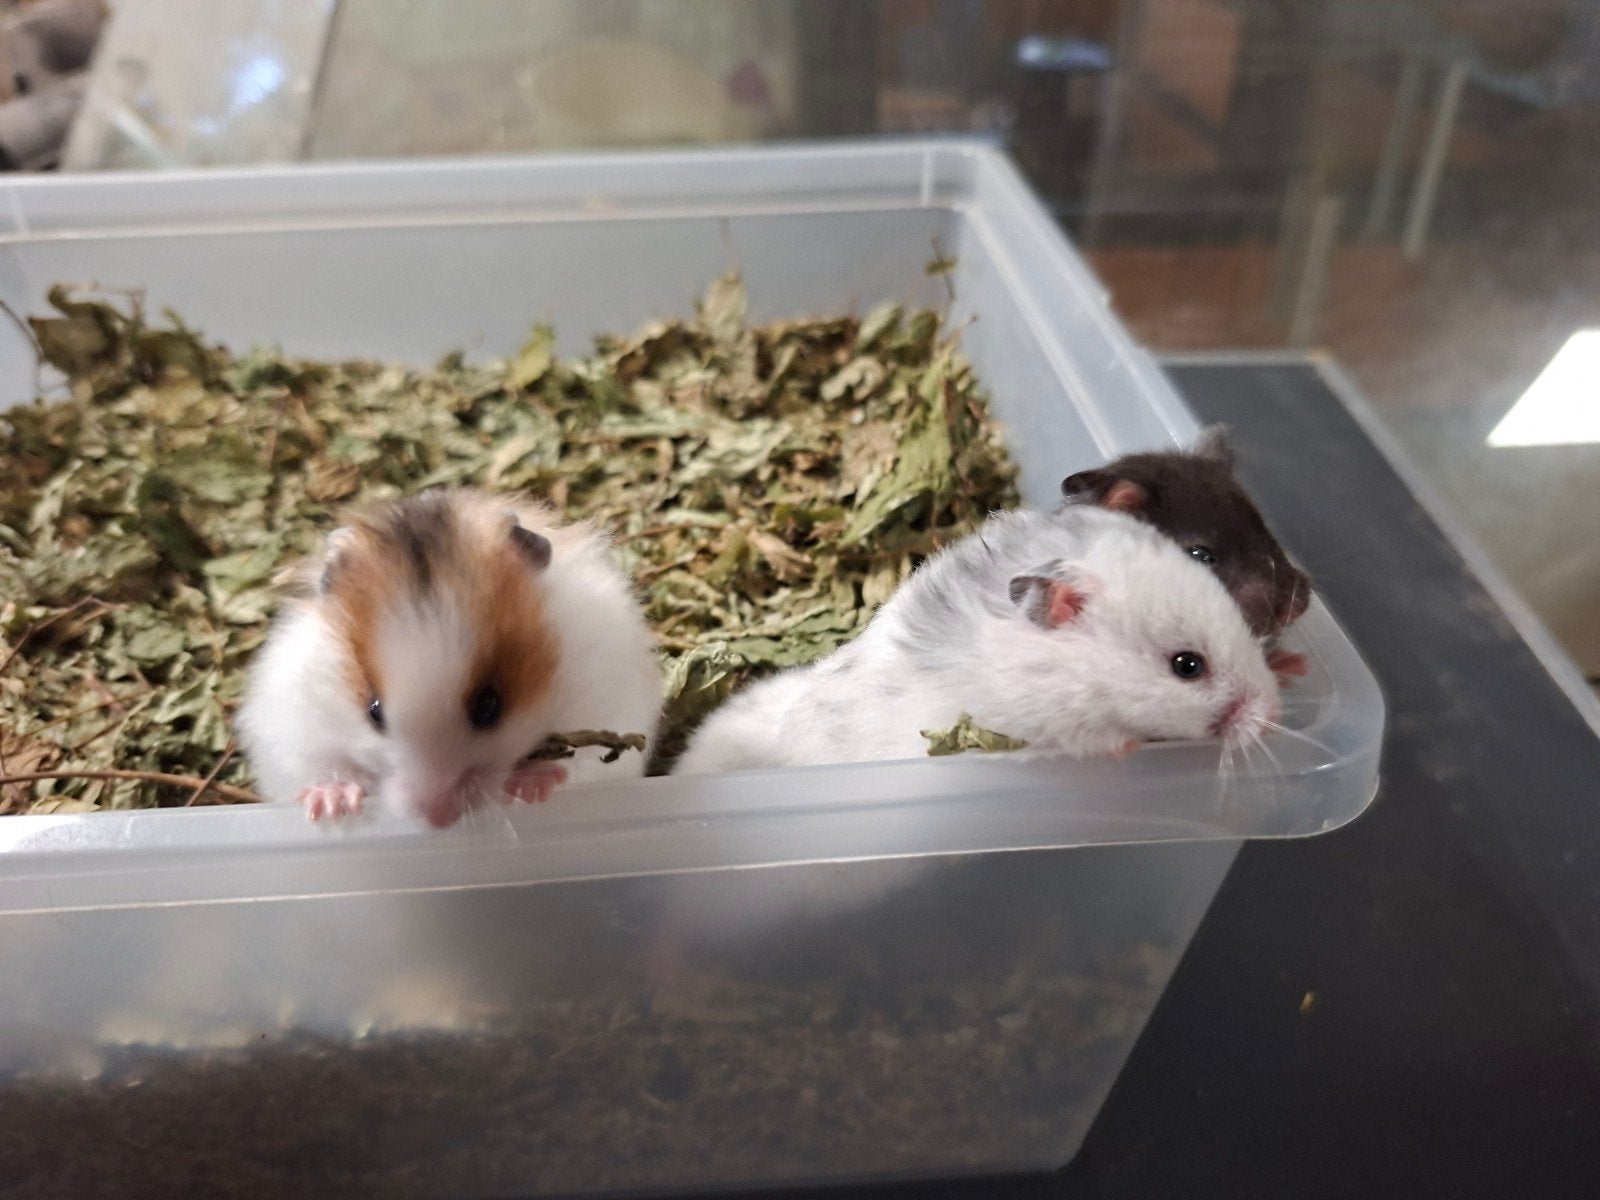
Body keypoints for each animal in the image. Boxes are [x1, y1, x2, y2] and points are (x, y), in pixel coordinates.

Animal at [237, 487, 662, 829]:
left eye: (489, 705)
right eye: (374, 711)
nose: (437, 821)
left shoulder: (604, 701)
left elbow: (575, 760)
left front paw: (530, 788)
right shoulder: (292, 723)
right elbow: (319, 765)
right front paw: (330, 805)